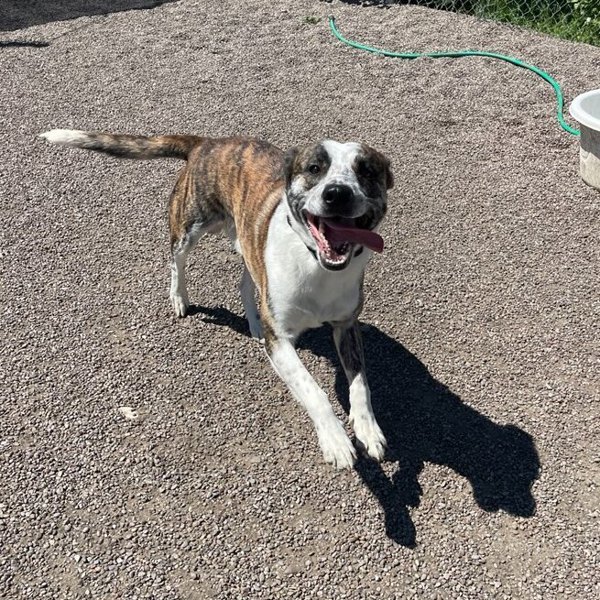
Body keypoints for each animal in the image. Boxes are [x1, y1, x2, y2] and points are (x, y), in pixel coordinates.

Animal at [38, 130, 394, 468]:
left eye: (366, 171)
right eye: (315, 169)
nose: (337, 193)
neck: (316, 263)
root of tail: (206, 142)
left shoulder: (346, 325)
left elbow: (360, 384)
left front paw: (367, 427)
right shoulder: (280, 341)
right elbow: (313, 390)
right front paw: (335, 440)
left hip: (245, 242)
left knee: (245, 284)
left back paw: (253, 323)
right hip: (190, 226)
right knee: (177, 262)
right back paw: (179, 297)